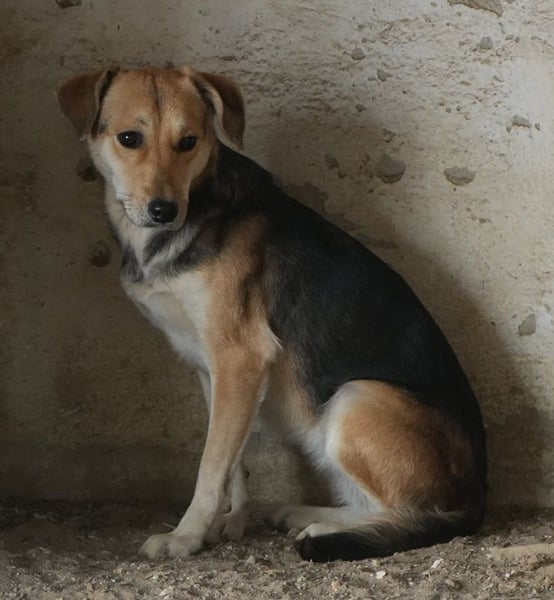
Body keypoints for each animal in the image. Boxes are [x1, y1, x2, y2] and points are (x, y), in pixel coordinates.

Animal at [57, 65, 487, 562]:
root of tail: (475, 501)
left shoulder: (240, 358)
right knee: (368, 504)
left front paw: (186, 536)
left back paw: (325, 530)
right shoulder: (214, 368)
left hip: (356, 397)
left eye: (189, 141)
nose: (165, 211)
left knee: (411, 515)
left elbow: (211, 465)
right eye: (129, 138)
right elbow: (232, 462)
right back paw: (305, 514)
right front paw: (227, 525)